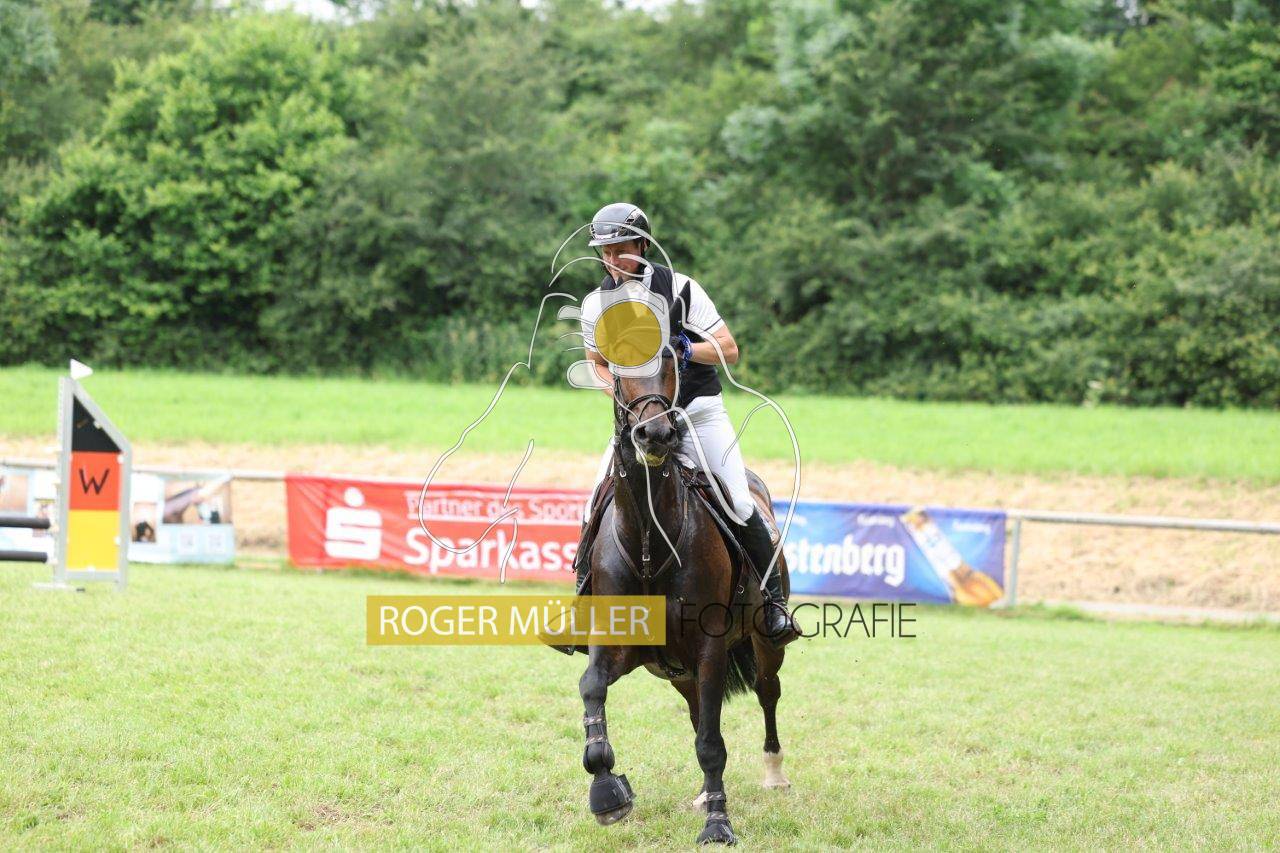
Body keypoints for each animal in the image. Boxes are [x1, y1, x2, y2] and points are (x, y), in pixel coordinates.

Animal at [577, 346, 792, 846]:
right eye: (619, 375)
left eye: (672, 363)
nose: (655, 433)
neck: (649, 541)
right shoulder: (621, 645)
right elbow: (592, 686)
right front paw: (608, 792)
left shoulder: (710, 646)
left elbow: (712, 743)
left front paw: (718, 824)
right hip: (676, 669)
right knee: (698, 710)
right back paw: (701, 793)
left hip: (763, 642)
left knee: (766, 691)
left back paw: (773, 773)